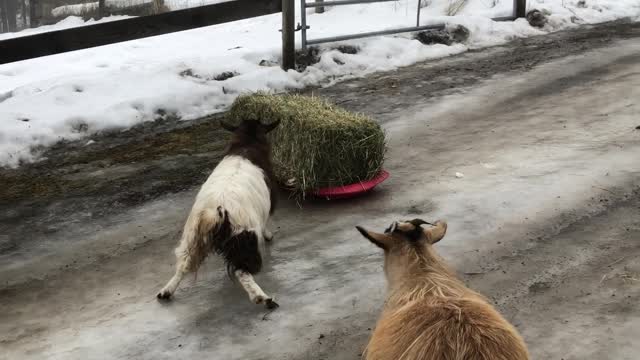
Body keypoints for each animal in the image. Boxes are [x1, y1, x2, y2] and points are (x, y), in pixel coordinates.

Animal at [158, 119, 280, 310]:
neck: (246, 145)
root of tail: (214, 213)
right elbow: (266, 221)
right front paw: (268, 235)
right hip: (242, 241)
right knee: (242, 271)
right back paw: (262, 298)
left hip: (192, 239)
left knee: (183, 265)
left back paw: (166, 291)